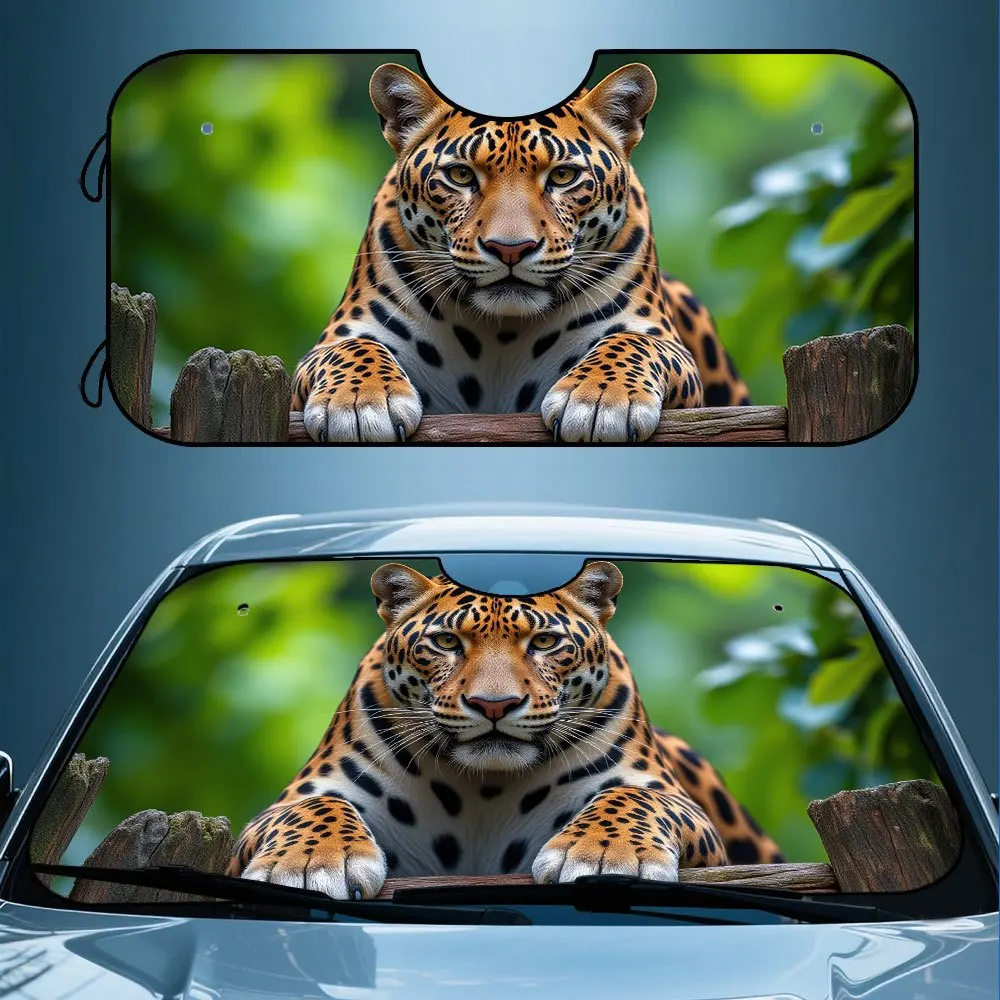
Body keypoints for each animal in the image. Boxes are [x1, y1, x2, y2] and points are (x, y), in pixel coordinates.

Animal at [229, 561, 783, 900]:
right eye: (446, 642)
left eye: (544, 642)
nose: (493, 705)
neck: (484, 786)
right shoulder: (290, 802)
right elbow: (314, 807)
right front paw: (304, 864)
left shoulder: (677, 803)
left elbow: (630, 797)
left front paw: (606, 856)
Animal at [292, 61, 752, 444]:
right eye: (460, 175)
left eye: (563, 176)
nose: (510, 249)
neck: (500, 331)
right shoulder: (336, 339)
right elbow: (353, 350)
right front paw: (358, 402)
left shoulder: (662, 339)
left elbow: (630, 343)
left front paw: (600, 398)